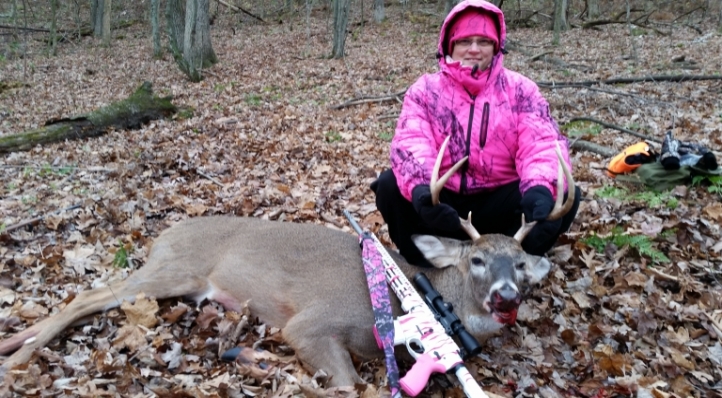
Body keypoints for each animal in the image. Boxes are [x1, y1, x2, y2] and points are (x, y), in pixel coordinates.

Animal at [0, 138, 572, 388]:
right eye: (476, 259)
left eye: (522, 264)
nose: (505, 296)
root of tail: (164, 231)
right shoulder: (312, 323)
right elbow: (348, 385)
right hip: (174, 269)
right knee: (86, 295)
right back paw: (17, 361)